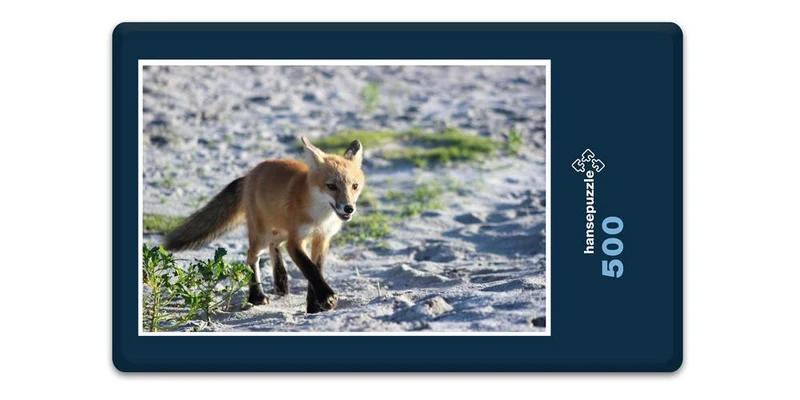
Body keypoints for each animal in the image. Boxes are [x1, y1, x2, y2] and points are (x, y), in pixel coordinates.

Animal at [163, 136, 365, 313]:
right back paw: (256, 296)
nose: (349, 208)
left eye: (354, 186)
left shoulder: (322, 238)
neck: (320, 217)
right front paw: (326, 298)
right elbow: (310, 269)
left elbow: (316, 272)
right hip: (262, 234)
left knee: (273, 246)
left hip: (279, 230)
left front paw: (314, 308)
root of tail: (250, 173)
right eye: (331, 186)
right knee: (251, 256)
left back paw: (281, 282)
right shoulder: (295, 241)